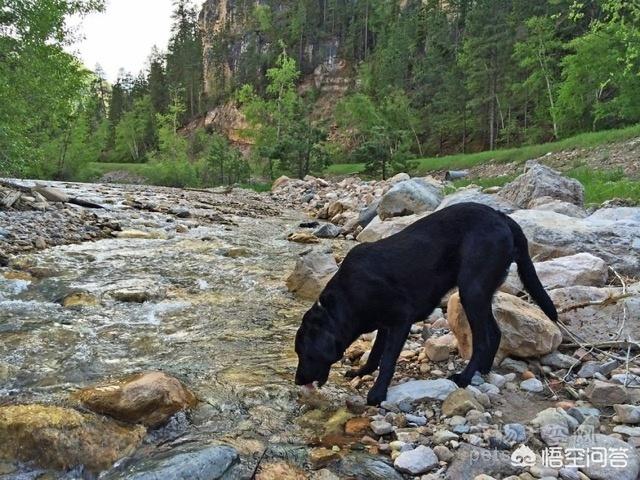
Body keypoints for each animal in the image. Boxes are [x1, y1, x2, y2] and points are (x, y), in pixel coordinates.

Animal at [294, 202, 556, 404]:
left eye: (305, 353)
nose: (297, 381)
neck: (346, 299)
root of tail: (501, 215)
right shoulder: (385, 324)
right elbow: (375, 354)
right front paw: (362, 371)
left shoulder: (402, 319)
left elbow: (387, 360)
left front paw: (377, 394)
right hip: (481, 292)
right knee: (496, 332)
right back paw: (483, 370)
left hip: (471, 290)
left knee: (483, 338)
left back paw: (464, 378)